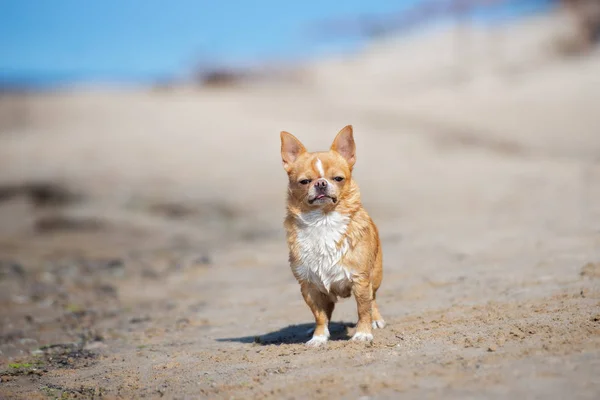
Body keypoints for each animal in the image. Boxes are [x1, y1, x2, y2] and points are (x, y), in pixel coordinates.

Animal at [280, 126, 384, 346]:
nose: (320, 183)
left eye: (338, 178)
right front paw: (319, 337)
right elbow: (319, 315)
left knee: (373, 299)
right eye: (304, 181)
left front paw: (363, 333)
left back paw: (376, 320)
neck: (323, 221)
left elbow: (363, 309)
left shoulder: (361, 280)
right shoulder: (309, 287)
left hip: (375, 275)